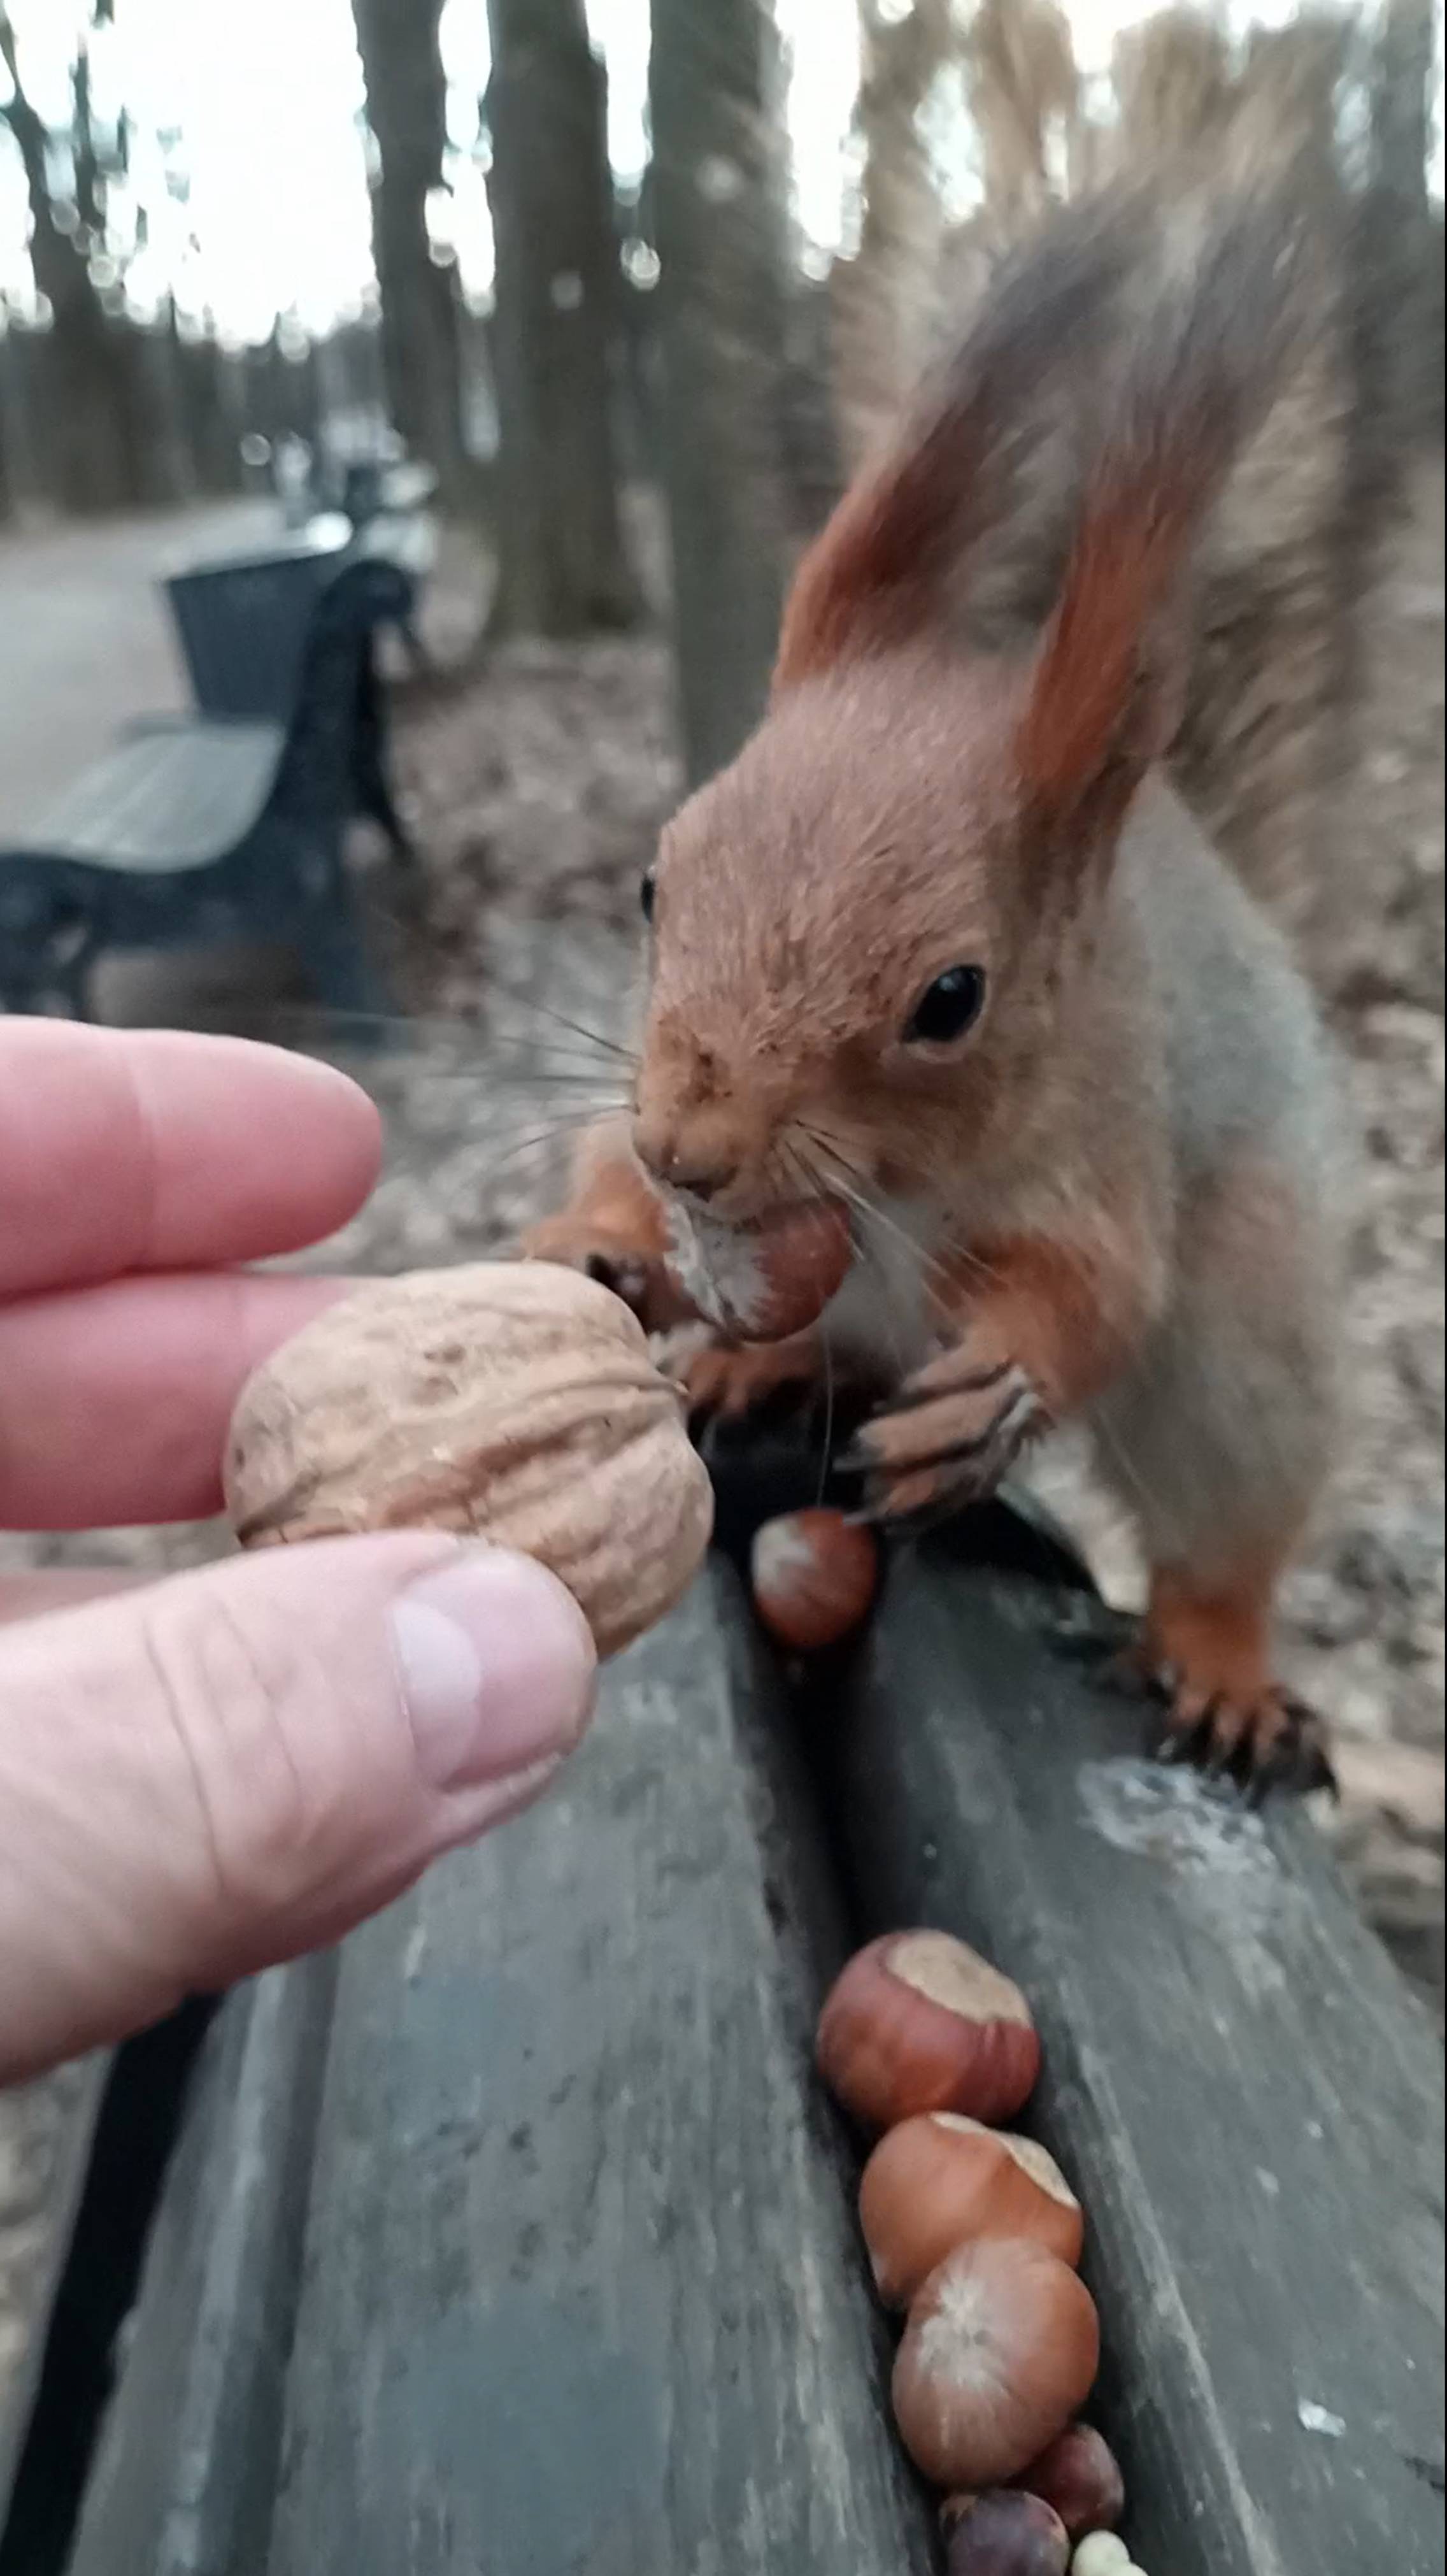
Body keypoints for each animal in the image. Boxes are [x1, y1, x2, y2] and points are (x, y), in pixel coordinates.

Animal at [517, 187, 1339, 1792]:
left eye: (951, 998)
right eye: (654, 883)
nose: (686, 1151)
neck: (882, 1186)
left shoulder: (1103, 1146)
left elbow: (1095, 1294)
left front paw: (997, 1386)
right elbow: (607, 1183)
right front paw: (597, 1239)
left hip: (1245, 1324)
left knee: (1223, 1523)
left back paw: (1220, 1662)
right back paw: (753, 1370)